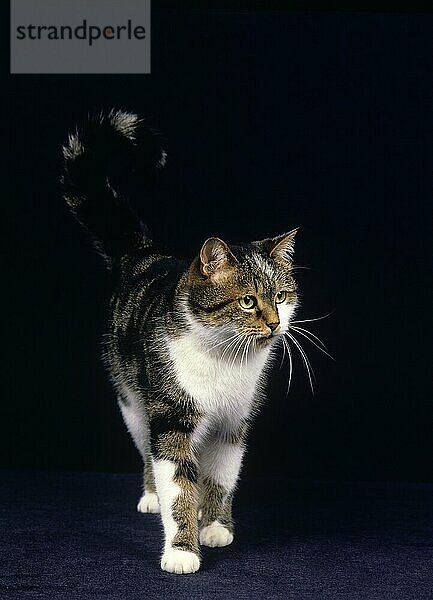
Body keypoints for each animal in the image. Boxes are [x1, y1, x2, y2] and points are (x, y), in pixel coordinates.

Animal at [61, 110, 296, 576]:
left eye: (281, 296)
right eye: (247, 301)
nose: (276, 324)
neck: (223, 359)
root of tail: (142, 251)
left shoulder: (233, 422)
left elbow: (221, 476)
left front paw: (216, 525)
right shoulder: (170, 419)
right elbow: (178, 483)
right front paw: (182, 550)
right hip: (133, 403)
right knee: (147, 453)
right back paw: (151, 496)